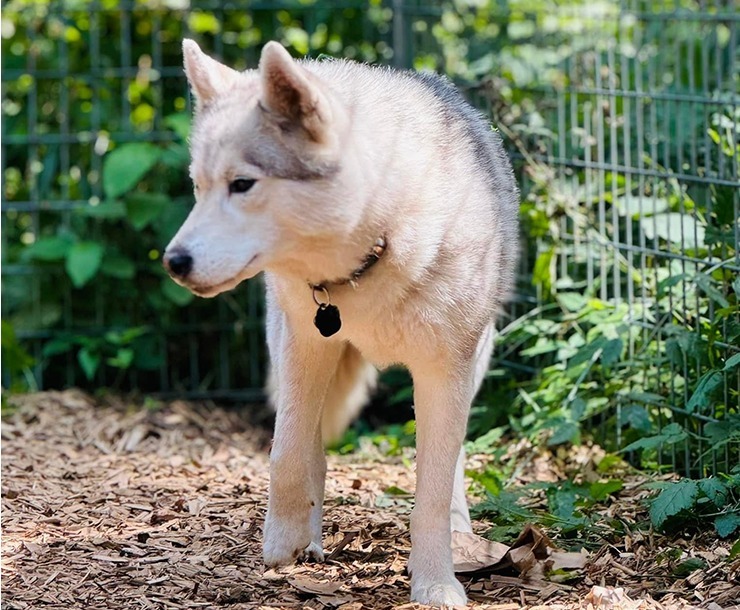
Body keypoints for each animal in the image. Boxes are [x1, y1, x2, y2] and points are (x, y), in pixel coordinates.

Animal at [164, 40, 516, 604]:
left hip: (476, 361)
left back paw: (461, 529)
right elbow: (285, 453)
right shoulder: (306, 344)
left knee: (454, 460)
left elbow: (432, 491)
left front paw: (436, 584)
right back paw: (308, 537)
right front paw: (283, 538)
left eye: (242, 184)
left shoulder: (445, 373)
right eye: (198, 187)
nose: (173, 262)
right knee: (310, 447)